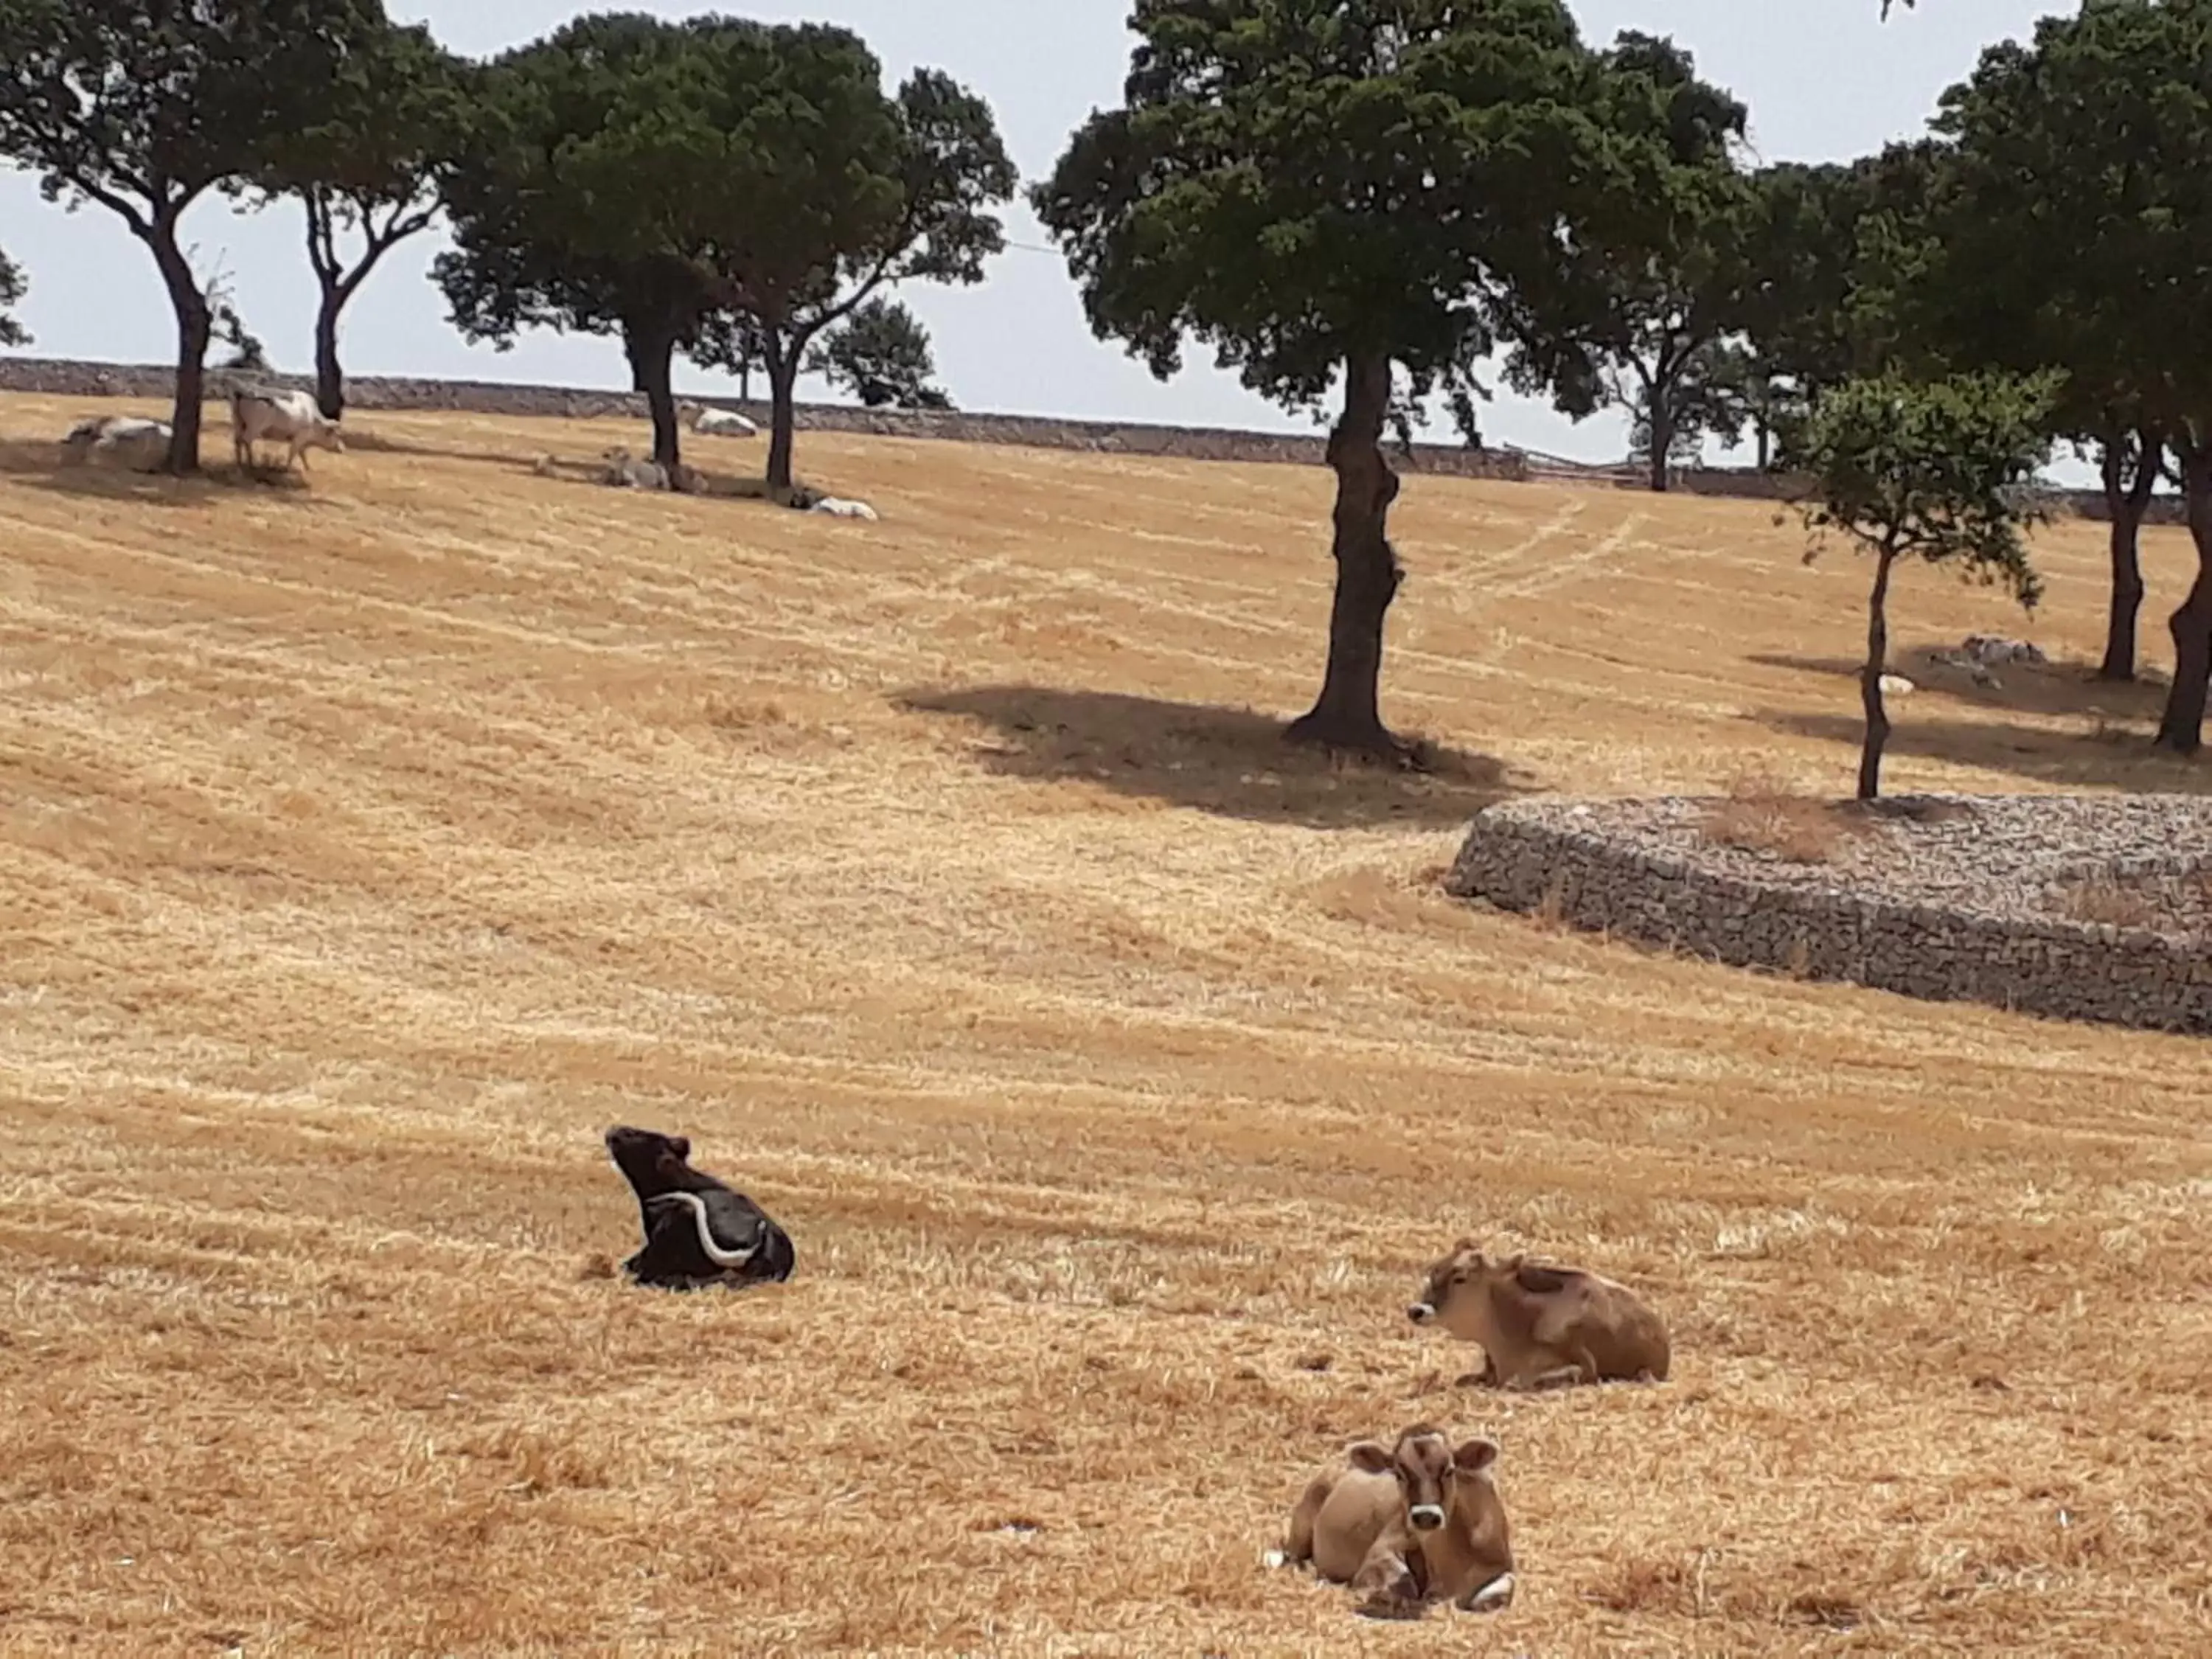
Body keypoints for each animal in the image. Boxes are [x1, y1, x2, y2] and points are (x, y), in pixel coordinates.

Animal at [1274, 1433, 1513, 1628]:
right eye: (1399, 1473)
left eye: (1449, 1470)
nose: (1425, 1516)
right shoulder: (1381, 1549)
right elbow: (1403, 1582)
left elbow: (1500, 1591)